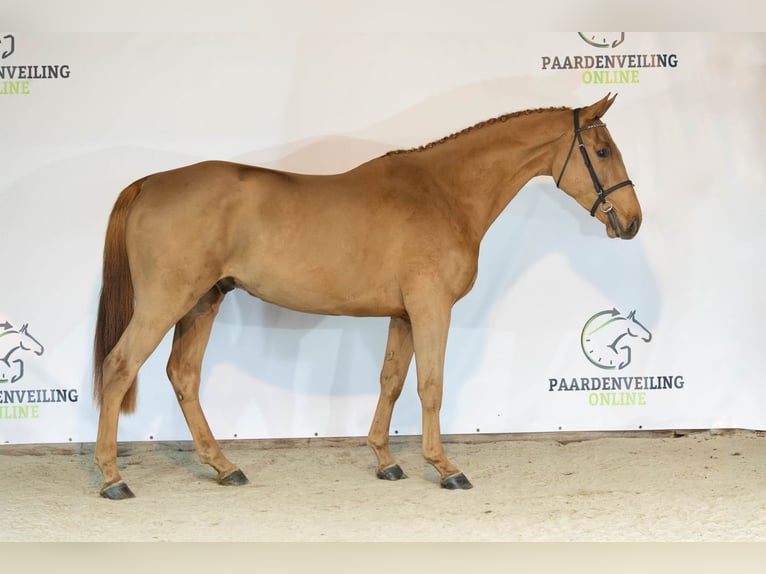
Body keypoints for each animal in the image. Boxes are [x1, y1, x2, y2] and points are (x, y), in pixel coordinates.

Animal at [92, 93, 642, 499]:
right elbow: (431, 386)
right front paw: (445, 468)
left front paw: (386, 461)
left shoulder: (403, 314)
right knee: (119, 367)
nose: (633, 222)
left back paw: (225, 467)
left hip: (205, 300)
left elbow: (392, 381)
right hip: (166, 302)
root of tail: (149, 184)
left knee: (183, 376)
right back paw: (113, 478)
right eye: (602, 151)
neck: (444, 194)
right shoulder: (430, 309)